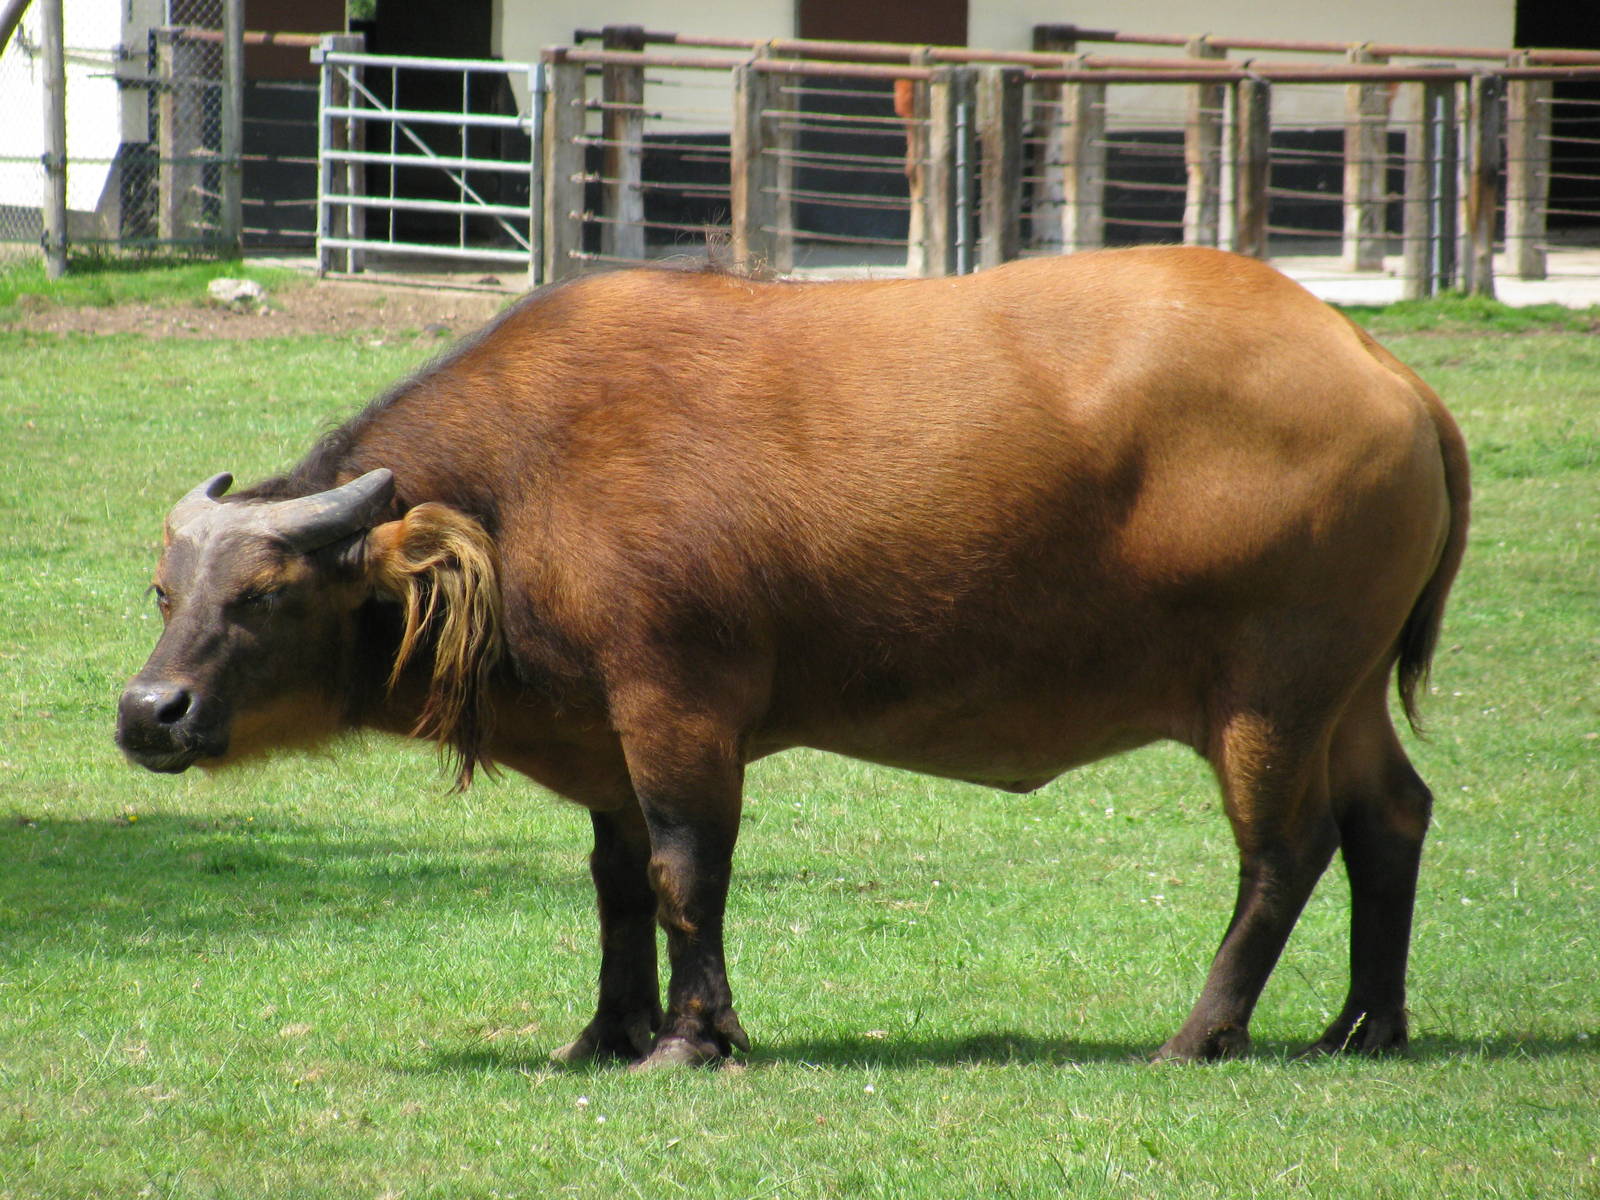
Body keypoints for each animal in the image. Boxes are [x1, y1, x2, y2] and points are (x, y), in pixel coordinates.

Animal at [117, 247, 1468, 1067]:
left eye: (269, 594)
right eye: (165, 588)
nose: (149, 711)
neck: (528, 488)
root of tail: (1381, 371)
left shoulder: (678, 712)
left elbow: (683, 875)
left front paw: (692, 1036)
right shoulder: (604, 737)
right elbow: (616, 885)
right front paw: (608, 1029)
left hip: (1270, 698)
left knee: (1283, 852)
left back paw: (1202, 1030)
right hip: (1344, 696)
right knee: (1391, 817)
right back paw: (1368, 1018)